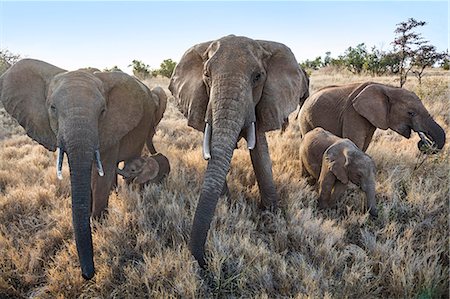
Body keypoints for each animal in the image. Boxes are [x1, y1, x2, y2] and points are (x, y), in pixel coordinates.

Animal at [0, 59, 168, 282]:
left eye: (103, 111)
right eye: (52, 108)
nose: (88, 274)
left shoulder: (111, 125)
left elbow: (100, 173)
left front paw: (97, 225)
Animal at [169, 35, 310, 270]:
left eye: (258, 77)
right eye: (206, 75)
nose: (206, 261)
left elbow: (259, 152)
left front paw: (271, 214)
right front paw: (227, 206)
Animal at [298, 81, 446, 152]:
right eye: (411, 113)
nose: (423, 142)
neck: (387, 88)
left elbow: (365, 144)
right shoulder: (352, 112)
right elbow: (354, 142)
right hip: (304, 120)